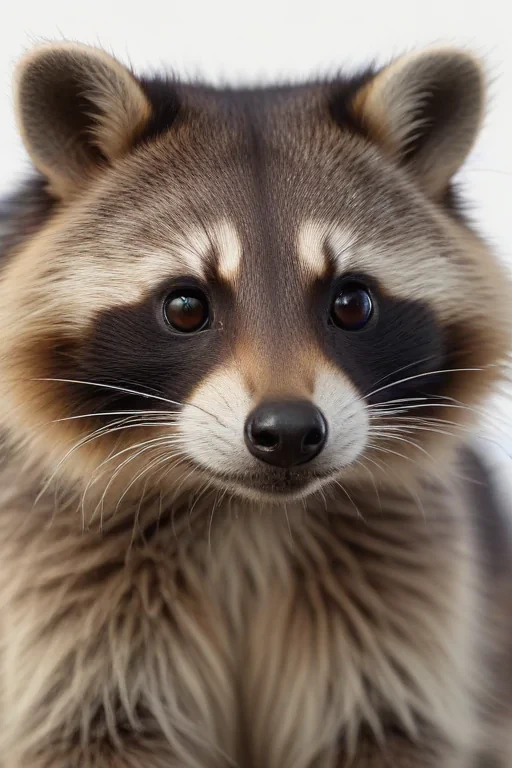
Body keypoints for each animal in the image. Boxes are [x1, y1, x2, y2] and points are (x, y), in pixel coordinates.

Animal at [0, 40, 511, 768]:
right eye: (186, 306)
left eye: (351, 302)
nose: (290, 431)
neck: (245, 513)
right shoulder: (64, 595)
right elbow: (90, 729)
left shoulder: (400, 604)